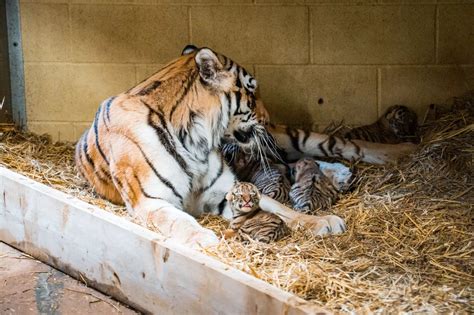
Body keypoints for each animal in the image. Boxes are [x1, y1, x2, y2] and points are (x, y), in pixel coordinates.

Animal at [75, 45, 414, 248]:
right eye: (251, 92)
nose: (267, 116)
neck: (196, 138)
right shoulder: (151, 201)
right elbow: (178, 221)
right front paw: (205, 240)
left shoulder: (228, 188)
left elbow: (279, 207)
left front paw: (321, 222)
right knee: (296, 162)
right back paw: (341, 173)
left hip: (282, 138)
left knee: (334, 143)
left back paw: (401, 152)